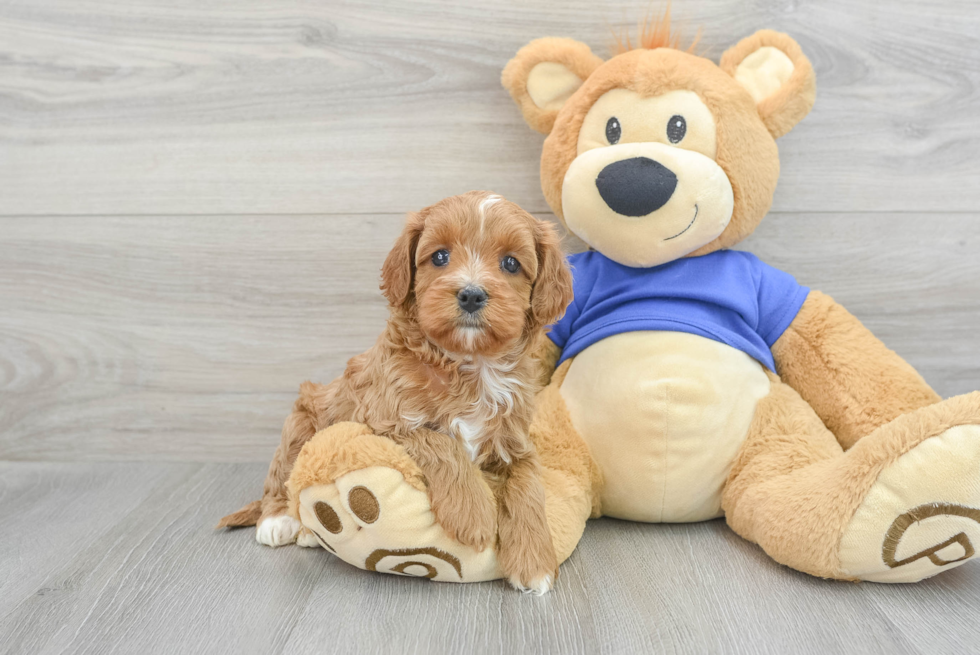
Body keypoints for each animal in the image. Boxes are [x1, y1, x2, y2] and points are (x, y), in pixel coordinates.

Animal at [220, 190, 576, 596]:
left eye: (511, 263)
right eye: (439, 256)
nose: (471, 295)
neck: (468, 365)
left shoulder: (516, 440)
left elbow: (528, 486)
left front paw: (535, 563)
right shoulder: (385, 419)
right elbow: (443, 443)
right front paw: (474, 515)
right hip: (300, 420)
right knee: (282, 475)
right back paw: (279, 521)